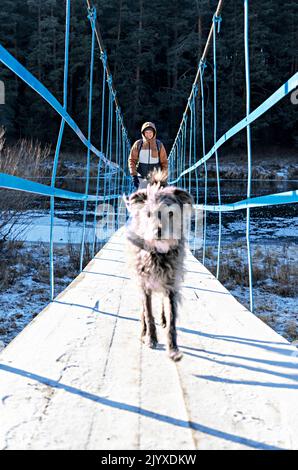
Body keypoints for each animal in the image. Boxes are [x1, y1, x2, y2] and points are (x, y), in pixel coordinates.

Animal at [124, 171, 192, 362]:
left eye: (171, 212)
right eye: (148, 213)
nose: (158, 232)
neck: (158, 253)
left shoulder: (172, 285)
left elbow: (172, 319)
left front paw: (173, 349)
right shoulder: (144, 285)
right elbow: (148, 313)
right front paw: (151, 338)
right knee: (143, 310)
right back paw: (143, 331)